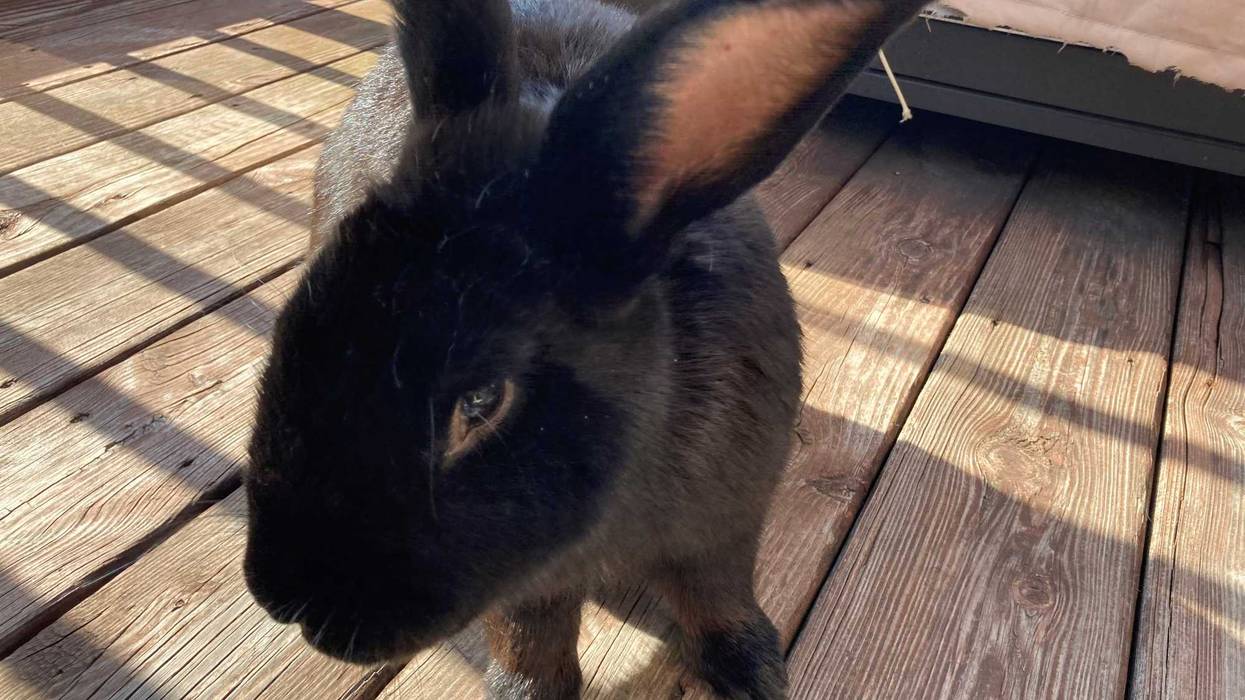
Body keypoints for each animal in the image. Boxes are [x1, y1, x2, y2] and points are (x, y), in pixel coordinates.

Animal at [242, 0, 928, 698]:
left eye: (482, 401)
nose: (283, 599)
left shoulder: (728, 522)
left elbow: (718, 594)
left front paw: (752, 673)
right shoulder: (529, 582)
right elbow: (533, 639)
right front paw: (527, 694)